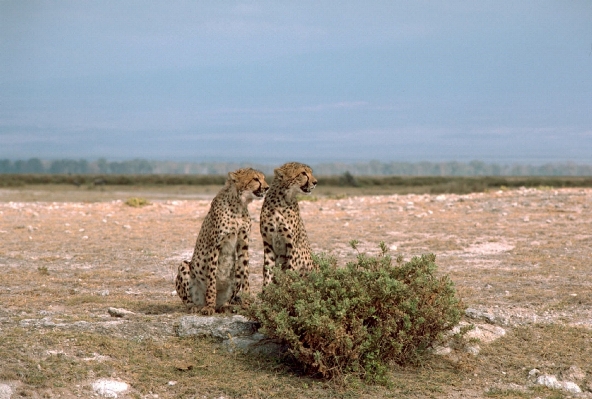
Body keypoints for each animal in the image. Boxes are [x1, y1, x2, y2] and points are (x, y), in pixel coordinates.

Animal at [175, 167, 270, 314]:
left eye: (263, 178)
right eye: (255, 179)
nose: (267, 187)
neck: (239, 203)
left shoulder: (243, 245)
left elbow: (246, 275)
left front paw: (247, 304)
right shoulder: (215, 246)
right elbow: (212, 278)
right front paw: (209, 306)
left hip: (234, 270)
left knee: (227, 298)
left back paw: (226, 306)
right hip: (184, 266)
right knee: (189, 301)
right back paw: (197, 306)